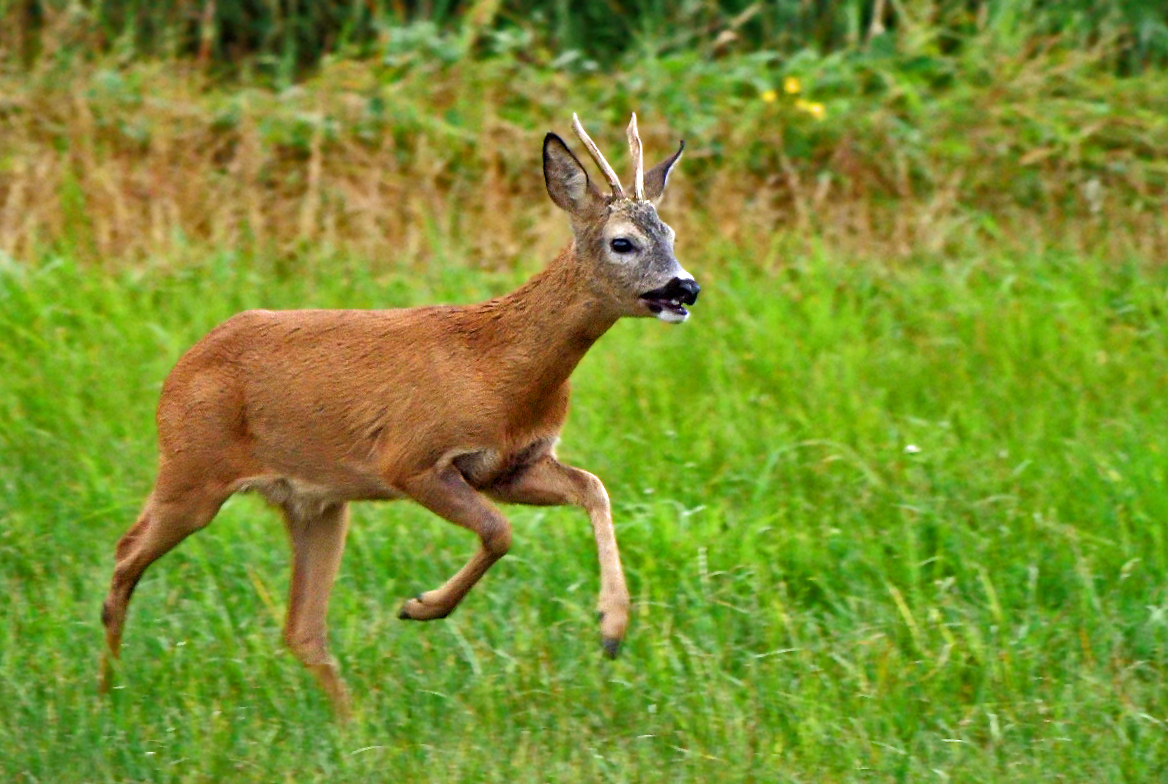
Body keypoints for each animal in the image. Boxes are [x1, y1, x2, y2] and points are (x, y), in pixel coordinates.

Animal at [98, 113, 691, 715]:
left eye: (669, 236)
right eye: (622, 242)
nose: (685, 287)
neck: (497, 368)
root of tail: (177, 373)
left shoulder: (511, 466)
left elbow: (593, 488)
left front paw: (612, 628)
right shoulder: (410, 457)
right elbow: (499, 531)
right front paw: (421, 607)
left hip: (315, 502)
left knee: (301, 627)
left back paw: (349, 724)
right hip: (193, 469)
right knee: (125, 555)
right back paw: (107, 693)